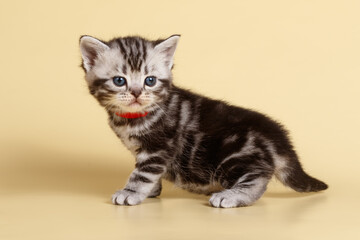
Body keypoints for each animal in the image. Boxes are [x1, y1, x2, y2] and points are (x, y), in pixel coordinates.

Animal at [80, 34, 328, 208]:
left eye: (150, 80)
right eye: (119, 81)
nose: (136, 93)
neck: (134, 118)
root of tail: (276, 136)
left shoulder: (159, 148)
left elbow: (142, 173)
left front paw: (131, 192)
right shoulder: (144, 151)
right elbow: (147, 172)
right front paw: (151, 191)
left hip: (233, 155)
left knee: (257, 176)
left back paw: (231, 196)